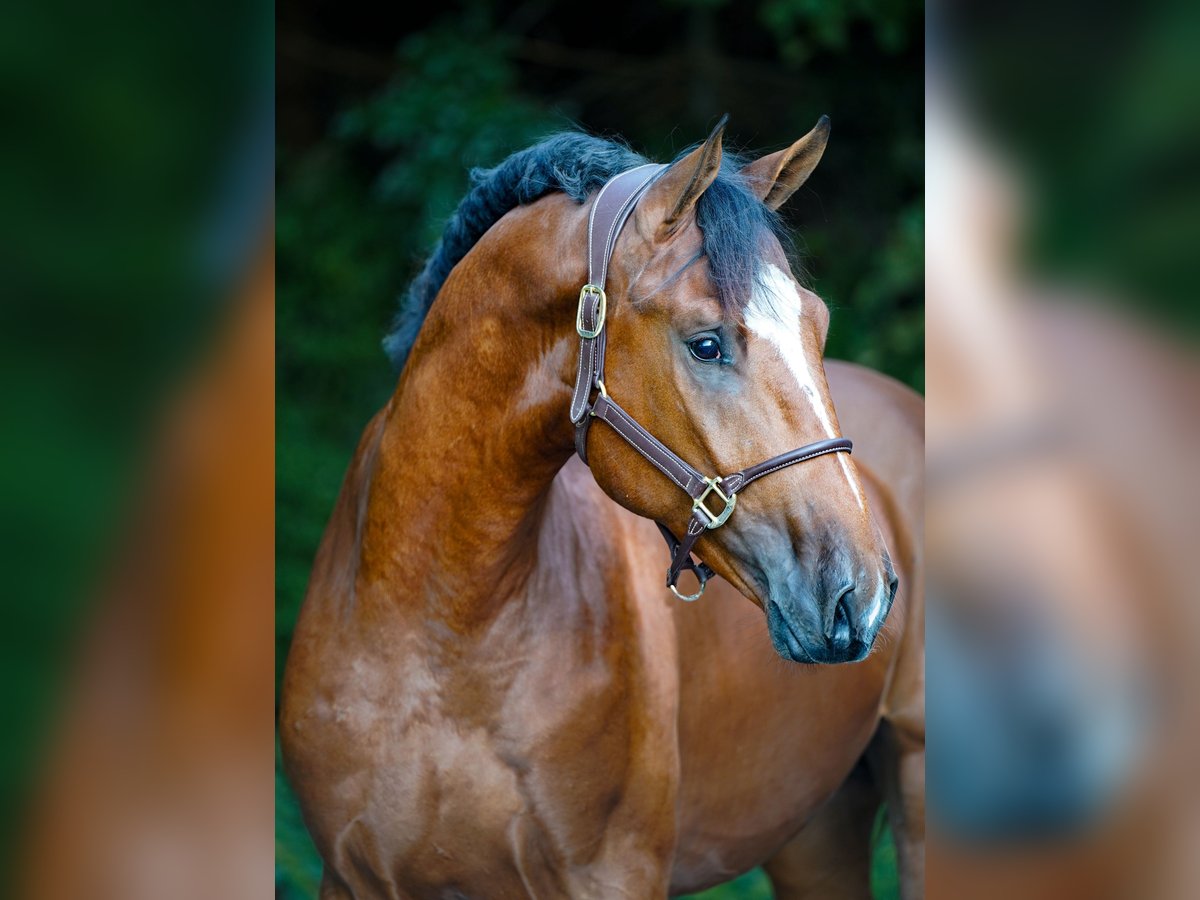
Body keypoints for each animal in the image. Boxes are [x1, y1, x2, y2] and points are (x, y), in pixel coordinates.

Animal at [283, 121, 926, 900]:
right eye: (706, 343)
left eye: (819, 325)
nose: (861, 594)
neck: (436, 625)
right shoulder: (352, 878)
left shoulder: (612, 875)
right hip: (815, 829)